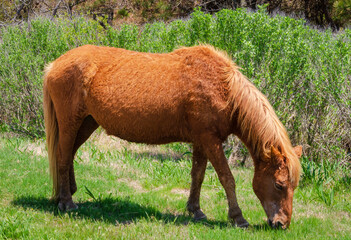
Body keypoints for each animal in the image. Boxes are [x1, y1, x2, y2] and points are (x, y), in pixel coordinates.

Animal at [43, 44, 302, 229]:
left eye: (293, 185)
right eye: (279, 185)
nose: (282, 224)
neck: (223, 87)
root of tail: (55, 64)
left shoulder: (201, 141)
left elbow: (197, 176)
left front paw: (195, 210)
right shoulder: (211, 140)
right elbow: (227, 178)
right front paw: (238, 217)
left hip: (87, 123)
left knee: (69, 154)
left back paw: (68, 193)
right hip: (70, 123)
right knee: (63, 157)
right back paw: (67, 202)